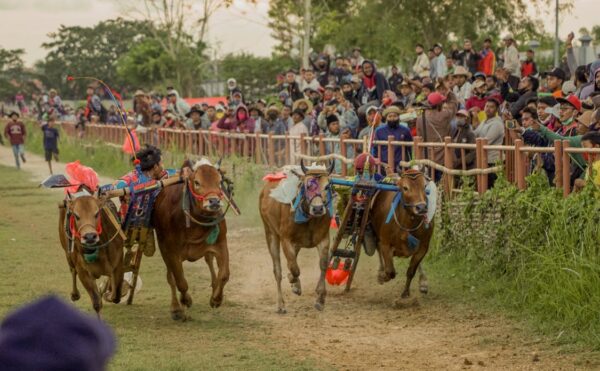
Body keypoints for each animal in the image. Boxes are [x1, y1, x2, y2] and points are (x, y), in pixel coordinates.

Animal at [152, 161, 230, 322]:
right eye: (197, 182)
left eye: (219, 181)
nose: (214, 201)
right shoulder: (171, 252)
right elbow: (180, 281)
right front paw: (185, 300)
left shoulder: (221, 244)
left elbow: (224, 274)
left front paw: (216, 299)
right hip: (164, 251)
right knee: (171, 278)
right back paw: (176, 308)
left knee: (209, 261)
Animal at [258, 161, 332, 312]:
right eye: (307, 186)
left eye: (327, 186)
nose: (318, 209)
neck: (309, 218)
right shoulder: (286, 240)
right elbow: (294, 268)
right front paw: (294, 282)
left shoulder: (324, 239)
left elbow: (323, 265)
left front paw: (320, 299)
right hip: (270, 233)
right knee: (278, 270)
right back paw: (280, 304)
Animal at [370, 170, 432, 304]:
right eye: (405, 187)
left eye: (424, 186)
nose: (421, 208)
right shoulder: (385, 244)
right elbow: (390, 271)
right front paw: (383, 276)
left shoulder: (423, 247)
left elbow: (411, 271)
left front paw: (406, 293)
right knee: (378, 250)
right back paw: (380, 272)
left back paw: (423, 282)